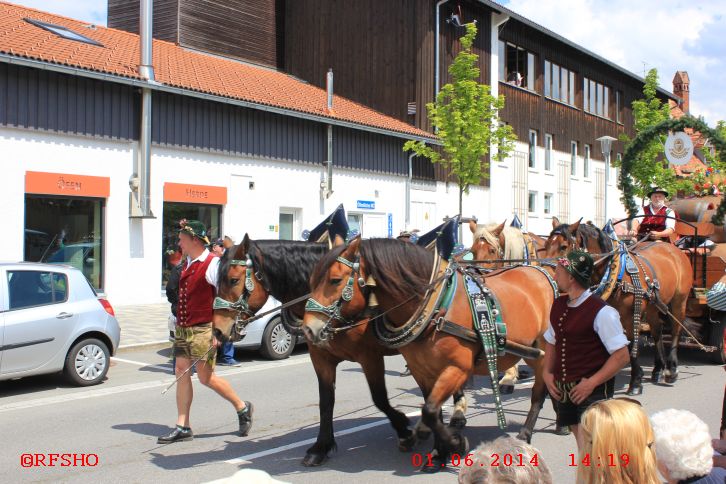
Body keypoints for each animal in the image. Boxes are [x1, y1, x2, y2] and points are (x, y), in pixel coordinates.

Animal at [304, 238, 556, 468]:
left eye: (335, 280)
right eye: (311, 281)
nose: (308, 328)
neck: (436, 308)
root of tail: (542, 271)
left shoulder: (456, 368)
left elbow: (429, 409)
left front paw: (454, 444)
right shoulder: (421, 369)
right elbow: (431, 411)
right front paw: (440, 450)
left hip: (544, 349)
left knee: (540, 390)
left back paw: (526, 433)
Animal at [544, 218, 692, 394]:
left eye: (563, 246)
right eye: (546, 245)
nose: (547, 271)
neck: (615, 274)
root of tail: (675, 250)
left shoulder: (630, 315)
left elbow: (631, 343)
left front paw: (636, 382)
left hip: (679, 300)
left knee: (676, 329)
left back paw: (672, 369)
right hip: (653, 305)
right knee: (657, 330)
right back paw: (658, 369)